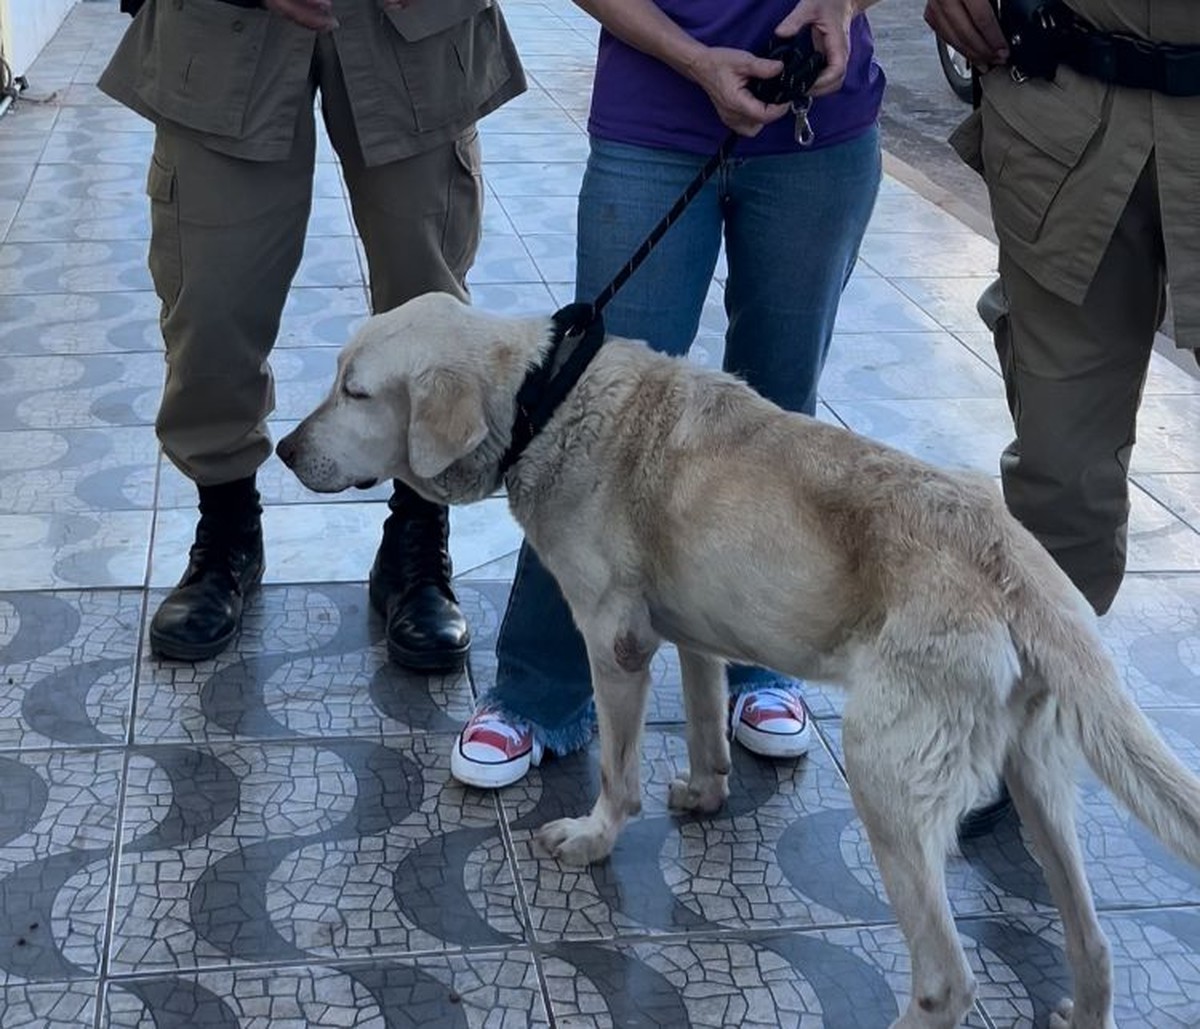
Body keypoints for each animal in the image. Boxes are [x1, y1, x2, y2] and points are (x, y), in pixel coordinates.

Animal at [278, 289, 1200, 1026]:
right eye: (336, 375)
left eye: (355, 390)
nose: (283, 450)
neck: (548, 396)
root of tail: (1018, 565)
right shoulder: (694, 631)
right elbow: (701, 719)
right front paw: (707, 791)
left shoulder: (616, 640)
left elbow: (617, 770)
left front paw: (595, 836)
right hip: (1040, 780)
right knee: (1096, 945)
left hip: (887, 777)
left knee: (947, 979)